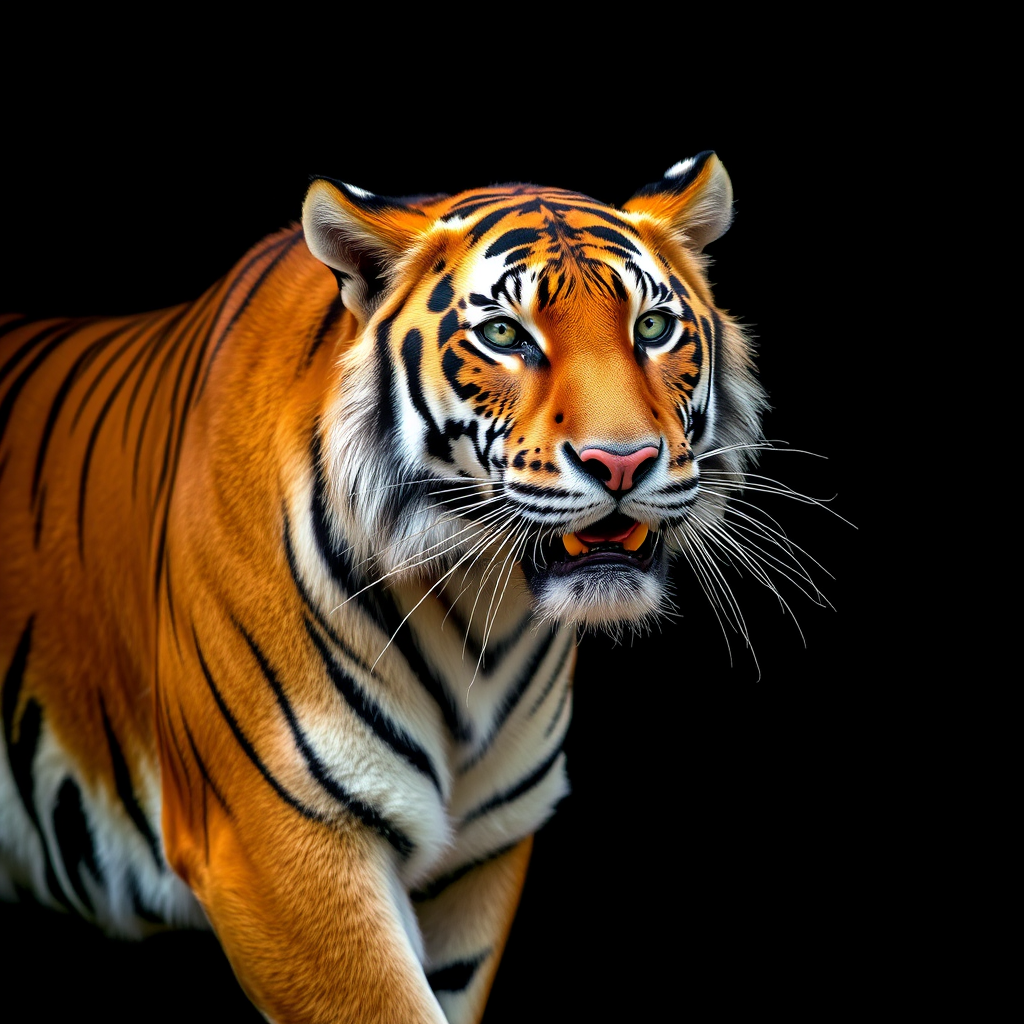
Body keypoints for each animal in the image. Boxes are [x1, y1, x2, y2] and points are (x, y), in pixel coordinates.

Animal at [1, 151, 777, 1023]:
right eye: (504, 335)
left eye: (651, 328)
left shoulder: (478, 857)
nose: (623, 462)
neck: (483, 611)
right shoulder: (278, 842)